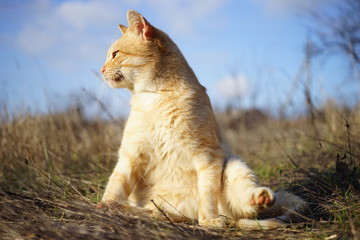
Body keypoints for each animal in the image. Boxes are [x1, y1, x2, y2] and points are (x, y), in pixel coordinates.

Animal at [99, 10, 306, 230]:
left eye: (115, 54)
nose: (101, 69)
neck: (154, 98)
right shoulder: (130, 156)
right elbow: (115, 185)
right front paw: (105, 205)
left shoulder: (208, 156)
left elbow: (207, 194)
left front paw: (208, 220)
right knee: (152, 210)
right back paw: (127, 209)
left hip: (233, 165)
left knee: (247, 205)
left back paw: (257, 199)